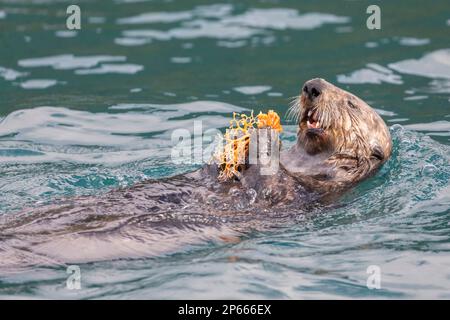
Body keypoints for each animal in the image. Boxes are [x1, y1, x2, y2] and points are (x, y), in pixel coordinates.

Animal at [0, 79, 390, 268]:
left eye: (351, 103)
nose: (313, 86)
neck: (303, 165)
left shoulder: (302, 193)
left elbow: (270, 185)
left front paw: (265, 138)